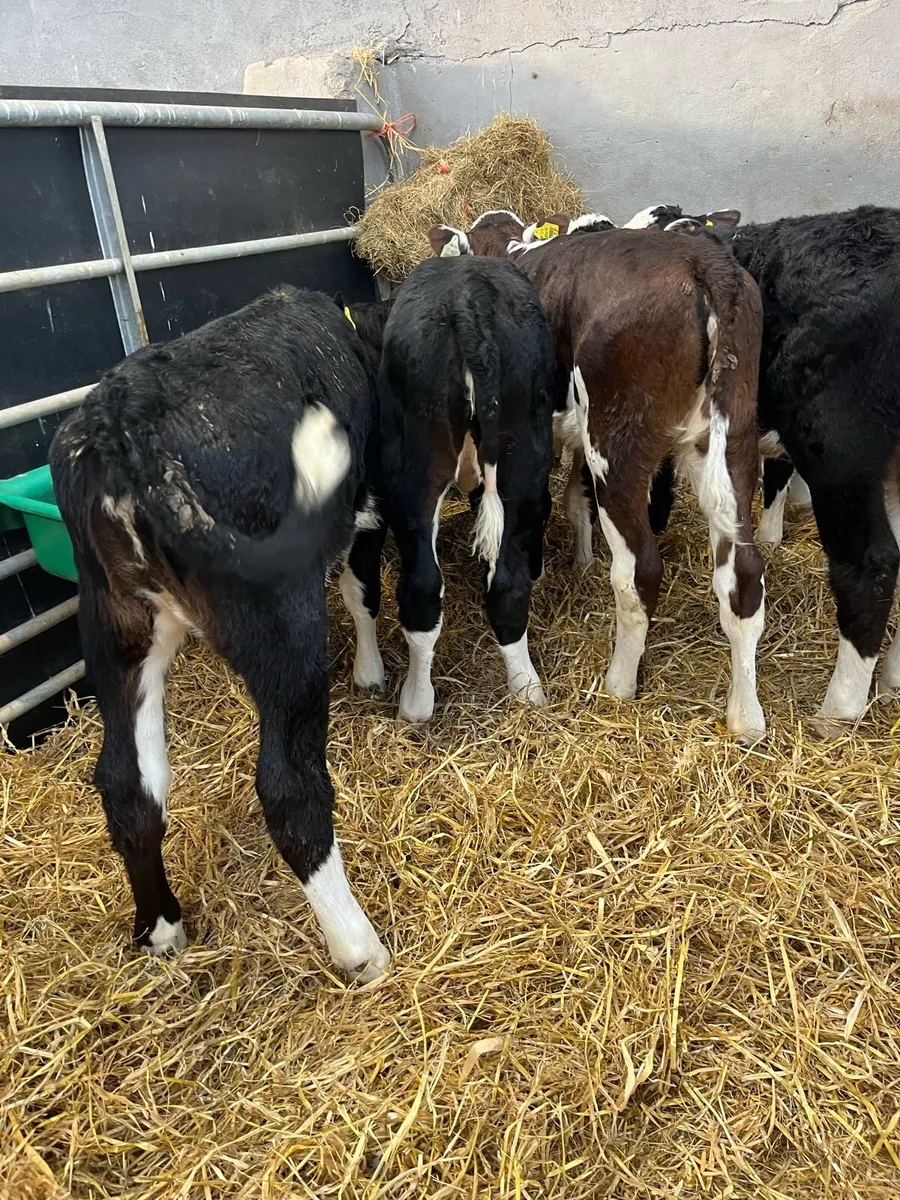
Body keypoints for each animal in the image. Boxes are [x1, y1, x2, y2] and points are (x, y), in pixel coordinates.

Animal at [48, 287, 391, 980]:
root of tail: (122, 426)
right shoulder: (365, 506)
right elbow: (360, 589)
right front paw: (371, 673)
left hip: (115, 624)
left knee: (129, 781)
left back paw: (160, 929)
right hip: (281, 622)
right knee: (290, 790)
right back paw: (361, 951)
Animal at [340, 254, 557, 722]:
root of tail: (468, 298)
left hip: (415, 472)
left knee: (423, 588)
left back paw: (416, 703)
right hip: (523, 459)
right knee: (506, 586)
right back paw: (526, 690)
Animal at [430, 209, 768, 743]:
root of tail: (702, 262)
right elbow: (571, 500)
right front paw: (579, 562)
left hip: (617, 447)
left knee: (639, 572)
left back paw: (619, 683)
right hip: (729, 441)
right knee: (744, 576)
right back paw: (746, 717)